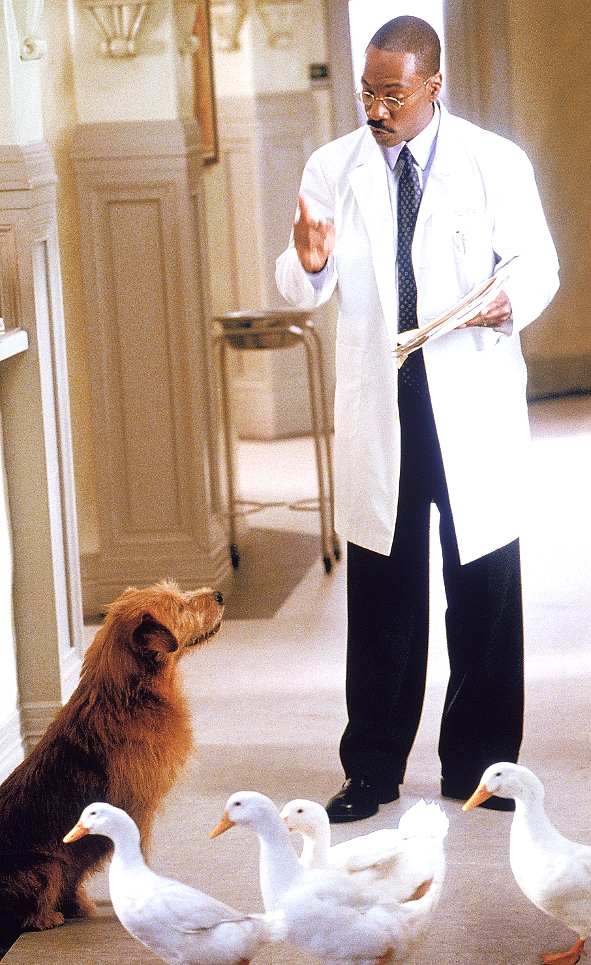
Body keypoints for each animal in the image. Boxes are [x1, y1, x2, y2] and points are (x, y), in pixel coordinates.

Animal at [0, 580, 224, 943]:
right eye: (179, 608)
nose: (218, 595)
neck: (130, 695)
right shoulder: (137, 807)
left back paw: (77, 905)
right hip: (48, 866)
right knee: (30, 914)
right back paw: (49, 917)